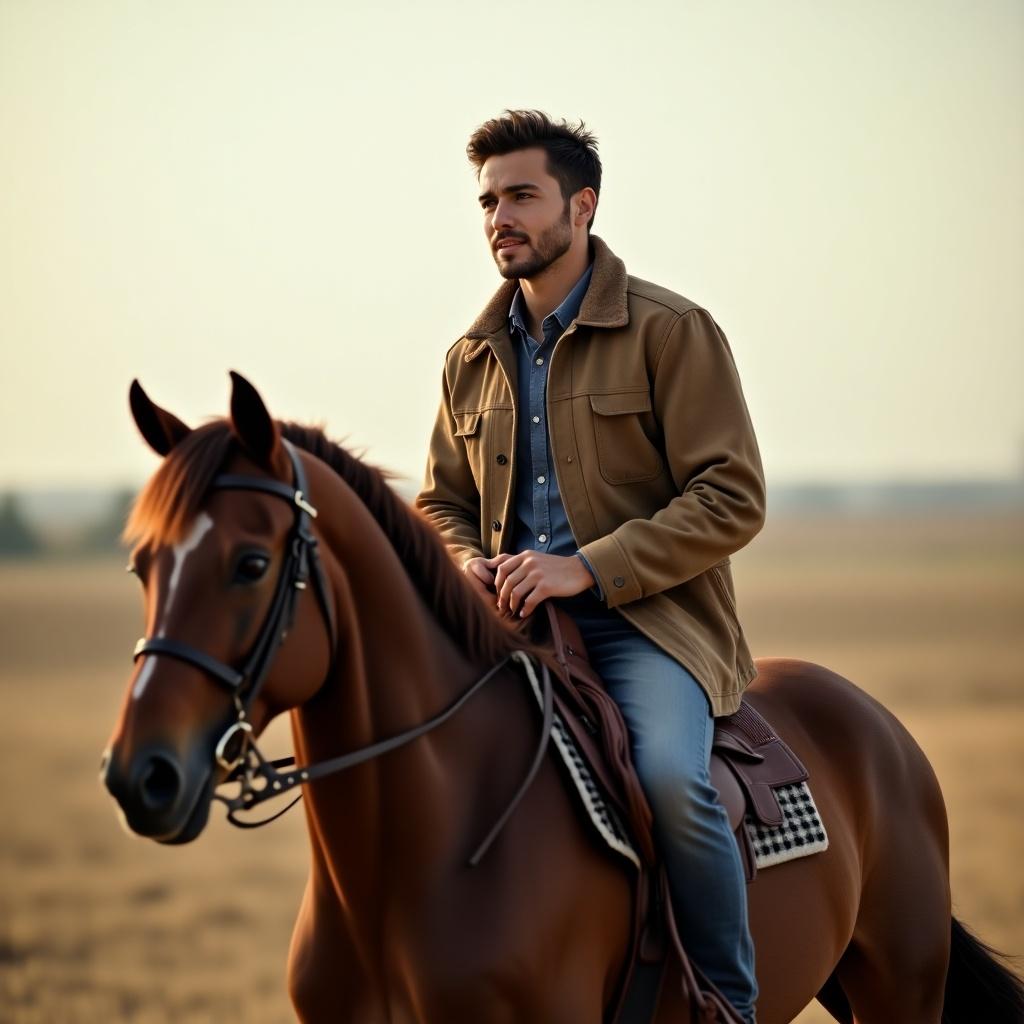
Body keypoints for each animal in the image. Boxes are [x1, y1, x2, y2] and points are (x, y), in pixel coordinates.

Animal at [101, 374, 1024, 1024]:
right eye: (140, 564)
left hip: (900, 987)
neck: (404, 871)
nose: (139, 776)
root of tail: (879, 726)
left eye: (251, 564)